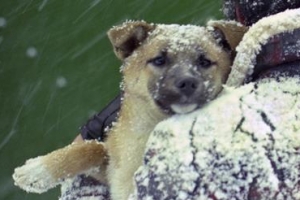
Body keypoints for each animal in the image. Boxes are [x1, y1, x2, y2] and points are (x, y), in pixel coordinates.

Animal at [12, 20, 246, 200]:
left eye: (205, 61)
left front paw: (37, 170)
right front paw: (37, 170)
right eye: (159, 59)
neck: (148, 132)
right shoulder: (111, 163)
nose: (187, 82)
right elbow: (92, 149)